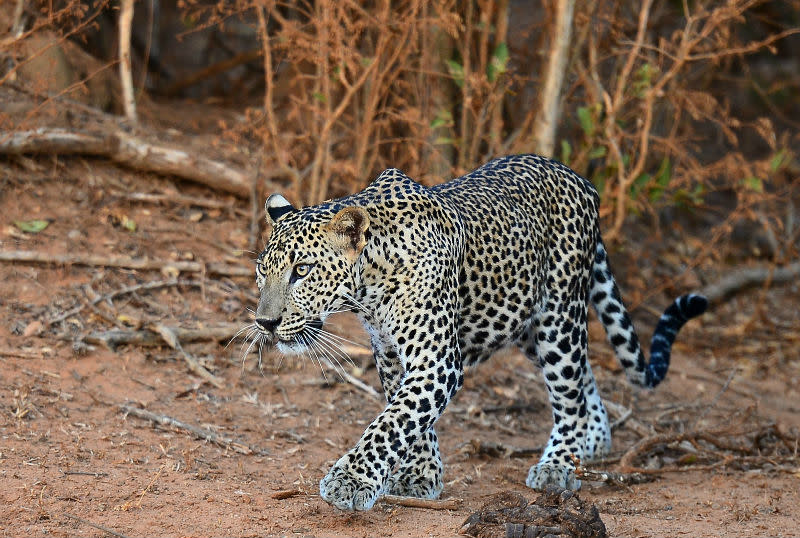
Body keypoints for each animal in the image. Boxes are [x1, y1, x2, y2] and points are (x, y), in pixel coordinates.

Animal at [252, 153, 708, 508]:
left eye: (302, 271)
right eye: (262, 271)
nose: (265, 322)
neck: (370, 284)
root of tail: (578, 178)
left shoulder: (436, 360)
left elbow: (393, 422)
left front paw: (350, 480)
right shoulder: (390, 355)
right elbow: (413, 418)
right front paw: (422, 476)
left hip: (558, 316)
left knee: (569, 391)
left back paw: (559, 464)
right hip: (526, 325)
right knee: (582, 377)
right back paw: (591, 442)